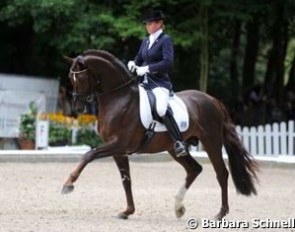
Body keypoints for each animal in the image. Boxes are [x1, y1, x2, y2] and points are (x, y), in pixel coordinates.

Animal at [63, 49, 260, 220]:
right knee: (194, 169)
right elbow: (126, 180)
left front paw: (68, 184)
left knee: (222, 173)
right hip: (174, 148)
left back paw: (220, 213)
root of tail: (212, 100)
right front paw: (127, 211)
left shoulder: (119, 144)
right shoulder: (119, 151)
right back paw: (178, 207)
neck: (119, 99)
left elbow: (88, 155)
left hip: (211, 142)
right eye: (70, 78)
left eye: (80, 78)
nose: (78, 107)